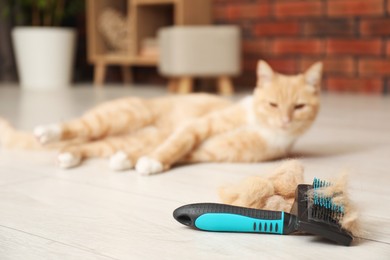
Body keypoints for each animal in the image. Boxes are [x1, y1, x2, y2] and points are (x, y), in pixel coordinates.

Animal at [0, 60, 322, 176]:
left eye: (299, 107)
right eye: (272, 104)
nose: (284, 121)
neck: (257, 124)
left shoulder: (212, 151)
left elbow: (180, 153)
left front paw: (144, 161)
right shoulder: (198, 126)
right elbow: (178, 143)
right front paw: (151, 161)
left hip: (123, 136)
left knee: (91, 145)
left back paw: (75, 157)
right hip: (123, 116)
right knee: (78, 128)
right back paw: (47, 131)